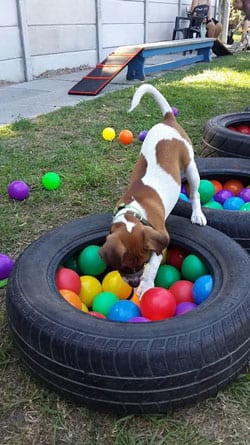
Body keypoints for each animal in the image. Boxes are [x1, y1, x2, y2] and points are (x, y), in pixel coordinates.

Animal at [99, 84, 207, 298]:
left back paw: (197, 214)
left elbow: (153, 268)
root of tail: (168, 119)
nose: (133, 283)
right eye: (123, 267)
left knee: (195, 193)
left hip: (191, 167)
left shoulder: (158, 239)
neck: (133, 212)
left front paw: (146, 286)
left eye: (142, 262)